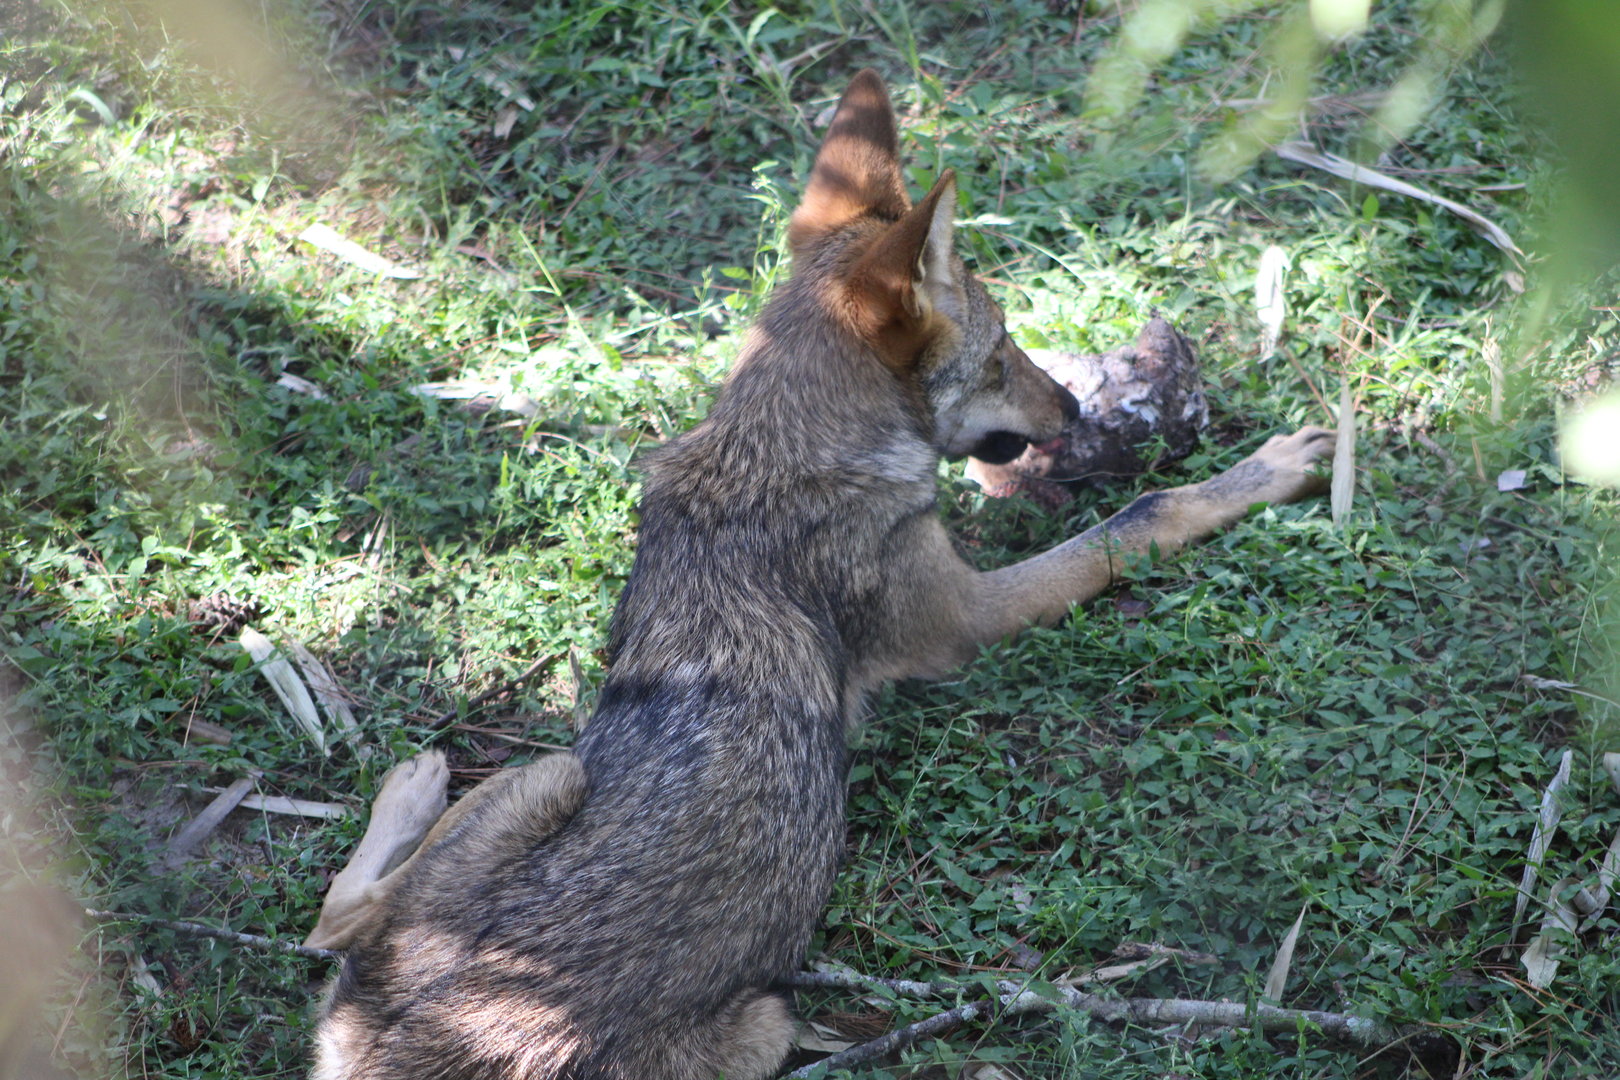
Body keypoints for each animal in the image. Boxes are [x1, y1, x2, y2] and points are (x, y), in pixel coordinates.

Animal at [305, 69, 1334, 1080]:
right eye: (1003, 352)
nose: (1075, 407)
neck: (774, 454)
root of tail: (409, 1053)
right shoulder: (968, 615)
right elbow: (1142, 516)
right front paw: (1268, 471)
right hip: (692, 927)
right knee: (341, 918)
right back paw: (414, 784)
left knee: (334, 927)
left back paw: (411, 779)